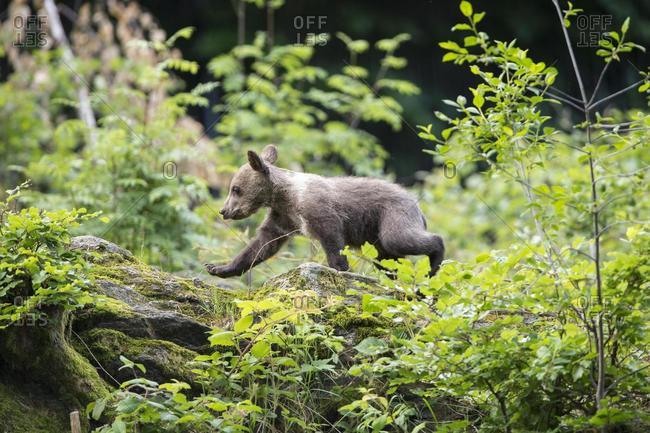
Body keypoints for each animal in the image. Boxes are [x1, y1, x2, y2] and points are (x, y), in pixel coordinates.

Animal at [205, 144, 444, 277]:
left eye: (235, 189)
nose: (224, 211)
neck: (285, 197)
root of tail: (417, 205)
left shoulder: (319, 210)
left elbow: (332, 239)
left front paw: (341, 268)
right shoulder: (283, 218)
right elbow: (262, 245)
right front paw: (218, 268)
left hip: (392, 215)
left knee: (400, 239)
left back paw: (434, 263)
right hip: (377, 236)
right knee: (389, 260)